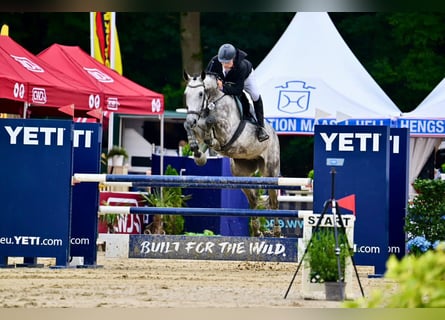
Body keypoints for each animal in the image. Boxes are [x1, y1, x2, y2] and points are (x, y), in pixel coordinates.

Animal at [181, 72, 280, 238]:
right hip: (241, 173)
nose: (191, 119)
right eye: (186, 94)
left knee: (274, 202)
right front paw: (197, 150)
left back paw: (277, 232)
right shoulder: (198, 125)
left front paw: (209, 142)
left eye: (201, 94)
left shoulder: (227, 130)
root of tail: (274, 133)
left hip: (271, 172)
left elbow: (211, 121)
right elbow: (191, 127)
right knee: (253, 199)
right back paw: (256, 231)